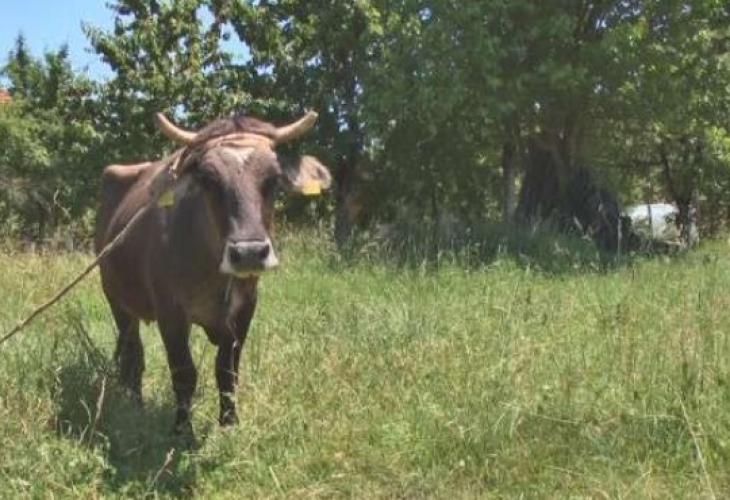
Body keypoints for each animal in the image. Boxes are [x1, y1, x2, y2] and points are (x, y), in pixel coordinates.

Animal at [94, 111, 330, 432]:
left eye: (273, 179)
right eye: (208, 179)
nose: (249, 253)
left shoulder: (245, 308)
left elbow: (227, 372)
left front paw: (229, 424)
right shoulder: (171, 311)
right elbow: (184, 374)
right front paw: (182, 430)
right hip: (116, 298)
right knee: (132, 354)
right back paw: (135, 404)